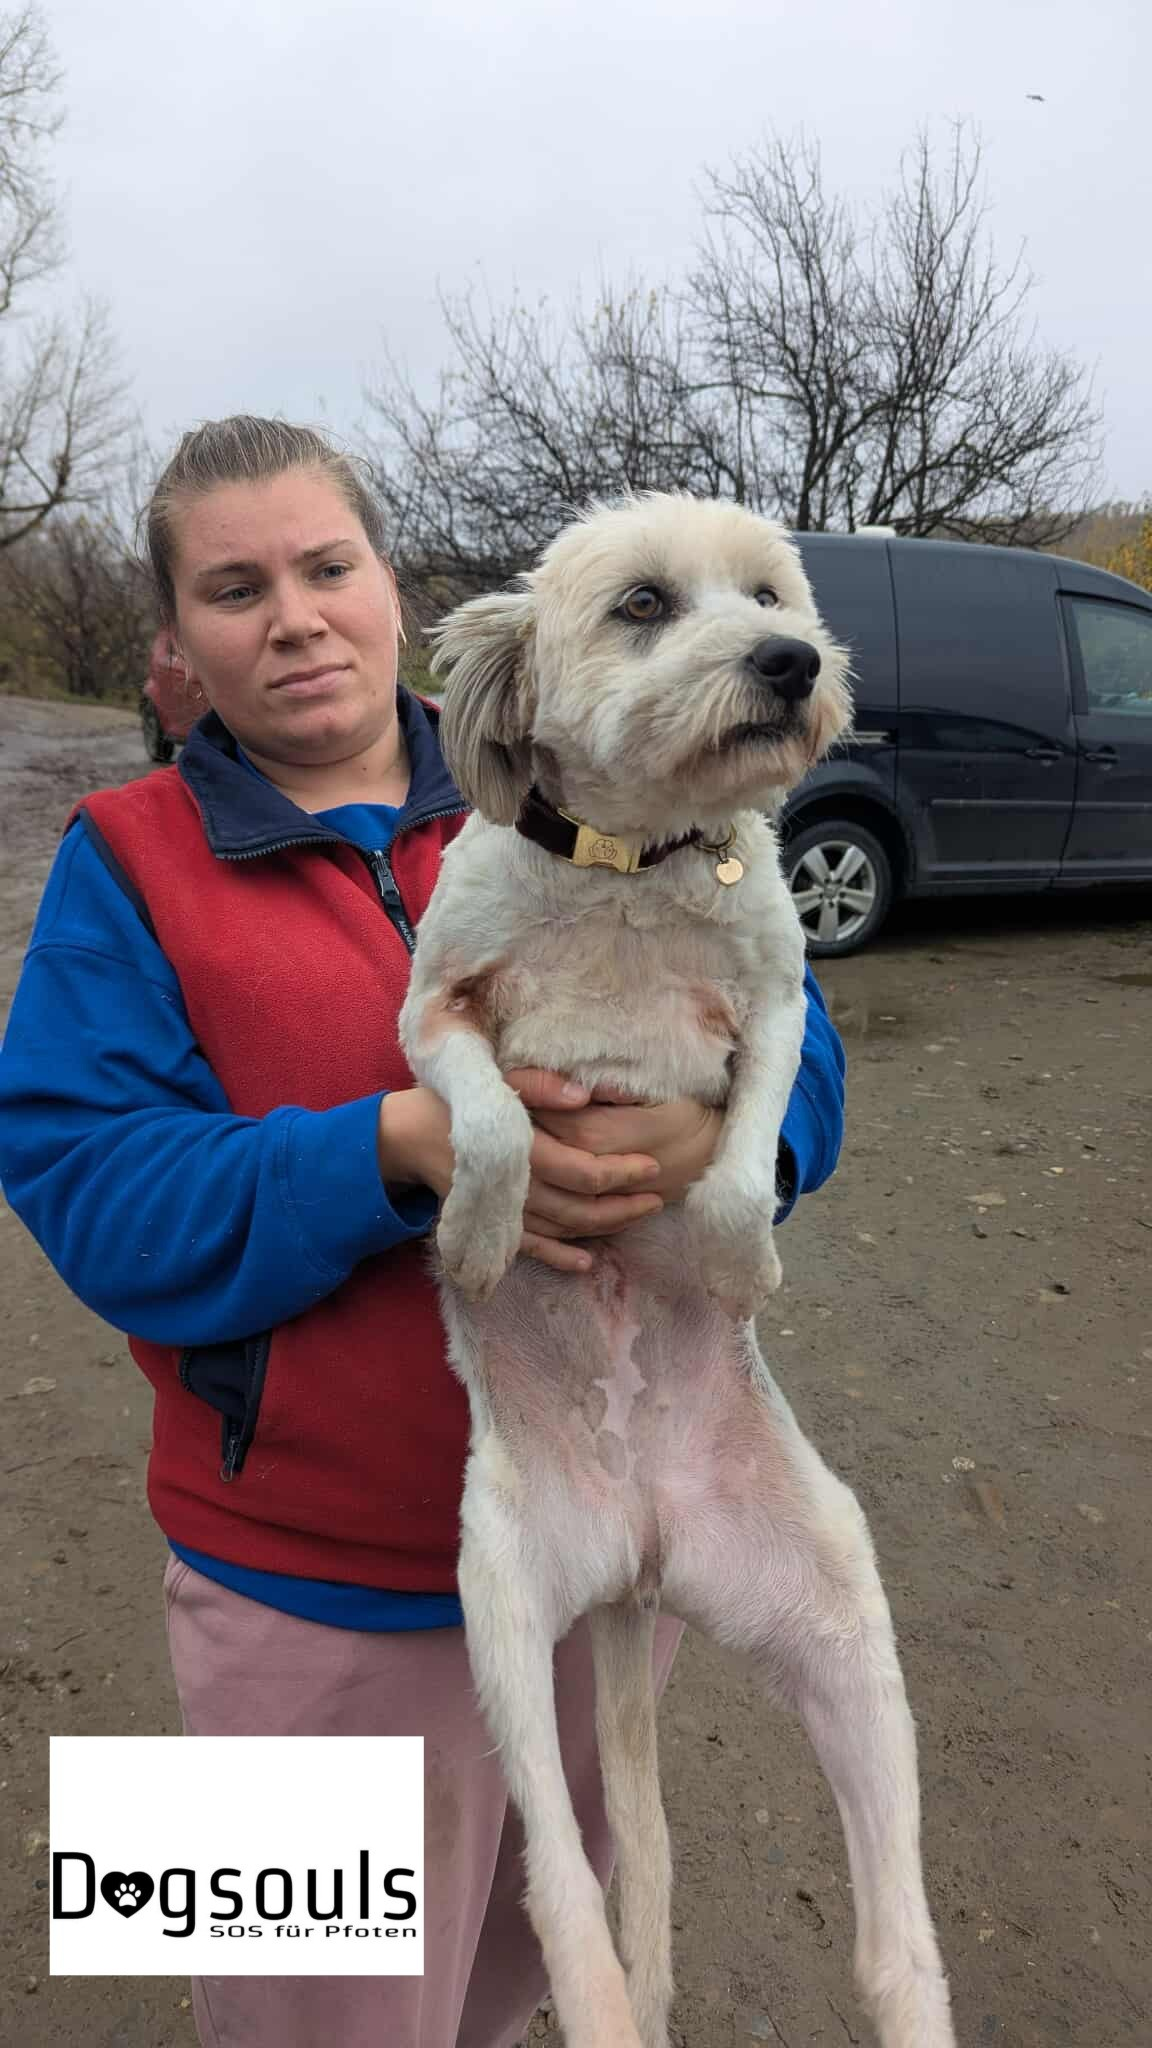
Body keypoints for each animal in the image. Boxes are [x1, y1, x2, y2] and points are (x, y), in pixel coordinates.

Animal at [398, 493, 955, 2048]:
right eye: (644, 603)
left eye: (771, 594)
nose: (790, 662)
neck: (632, 868)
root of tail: (643, 1541)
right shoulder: (433, 1012)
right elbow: (492, 1120)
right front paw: (476, 1236)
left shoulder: (778, 1005)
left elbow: (743, 1152)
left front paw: (733, 1255)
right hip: (503, 1615)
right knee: (561, 1887)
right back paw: (598, 1996)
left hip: (844, 1622)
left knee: (894, 1941)